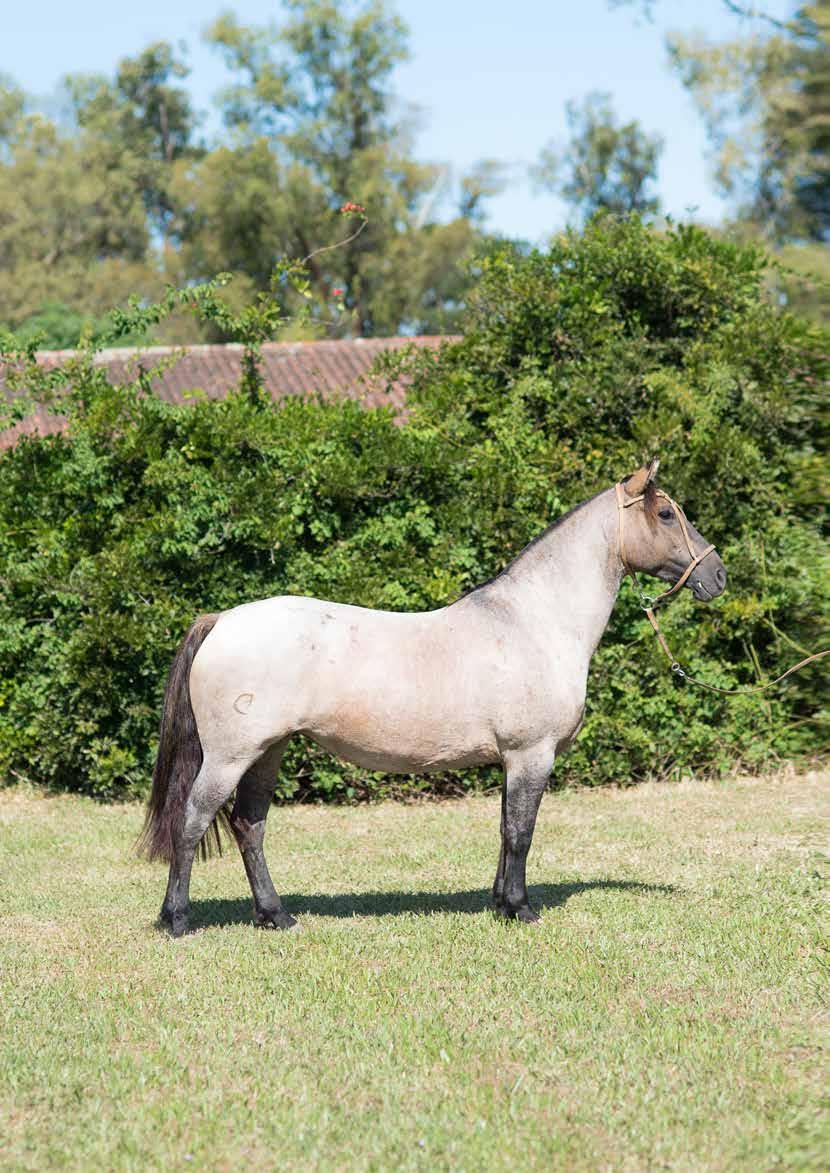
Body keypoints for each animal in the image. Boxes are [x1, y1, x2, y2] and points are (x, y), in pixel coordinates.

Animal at [137, 462, 726, 938]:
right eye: (667, 514)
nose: (718, 576)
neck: (533, 620)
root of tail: (221, 620)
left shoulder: (511, 760)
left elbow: (505, 829)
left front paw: (500, 904)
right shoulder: (531, 754)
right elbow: (521, 832)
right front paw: (521, 909)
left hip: (268, 751)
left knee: (249, 827)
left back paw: (275, 916)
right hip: (230, 757)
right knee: (193, 821)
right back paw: (178, 920)